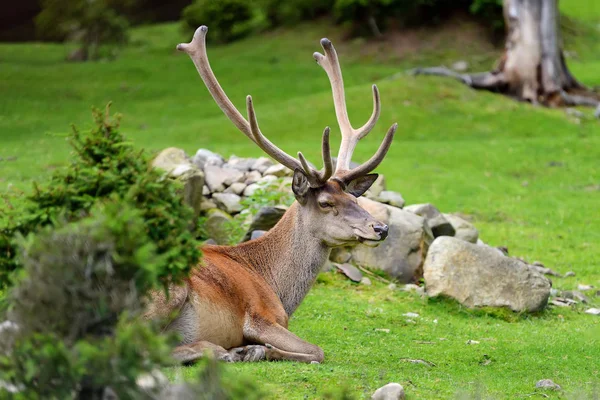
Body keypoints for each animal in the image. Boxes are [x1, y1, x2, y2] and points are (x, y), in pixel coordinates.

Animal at [144, 26, 398, 366]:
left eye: (355, 200)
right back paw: (221, 351)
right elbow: (317, 351)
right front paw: (253, 349)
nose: (381, 228)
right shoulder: (262, 315)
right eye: (326, 203)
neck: (277, 288)